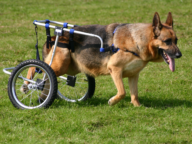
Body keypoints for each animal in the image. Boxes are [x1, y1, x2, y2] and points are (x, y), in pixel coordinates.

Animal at [22, 12, 182, 106]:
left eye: (176, 40)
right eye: (167, 41)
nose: (180, 55)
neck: (137, 41)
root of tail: (54, 36)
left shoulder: (133, 75)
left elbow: (134, 95)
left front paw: (138, 107)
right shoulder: (115, 69)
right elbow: (122, 92)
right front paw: (112, 101)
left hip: (69, 67)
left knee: (48, 78)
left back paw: (42, 96)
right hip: (59, 64)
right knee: (36, 68)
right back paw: (26, 84)